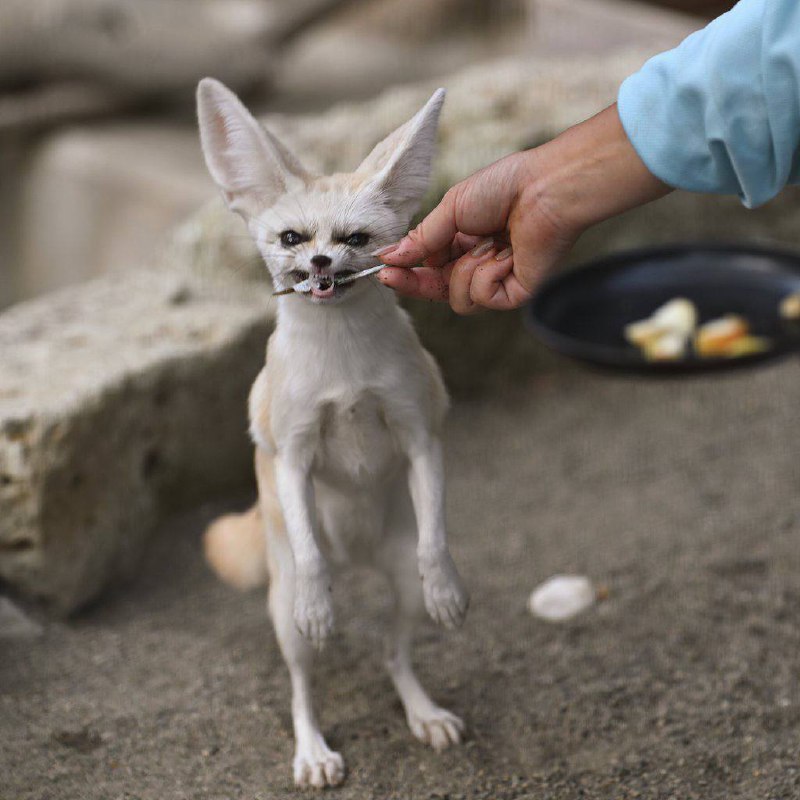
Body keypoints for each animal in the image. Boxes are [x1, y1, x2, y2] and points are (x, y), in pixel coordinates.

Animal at [197, 78, 468, 792]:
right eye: (291, 237)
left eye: (356, 237)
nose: (319, 258)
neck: (343, 366)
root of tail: (358, 558)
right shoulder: (292, 455)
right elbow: (313, 566)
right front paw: (323, 606)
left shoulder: (421, 435)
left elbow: (438, 541)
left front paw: (450, 590)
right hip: (283, 611)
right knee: (302, 686)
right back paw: (312, 750)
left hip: (399, 581)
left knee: (394, 656)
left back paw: (423, 712)